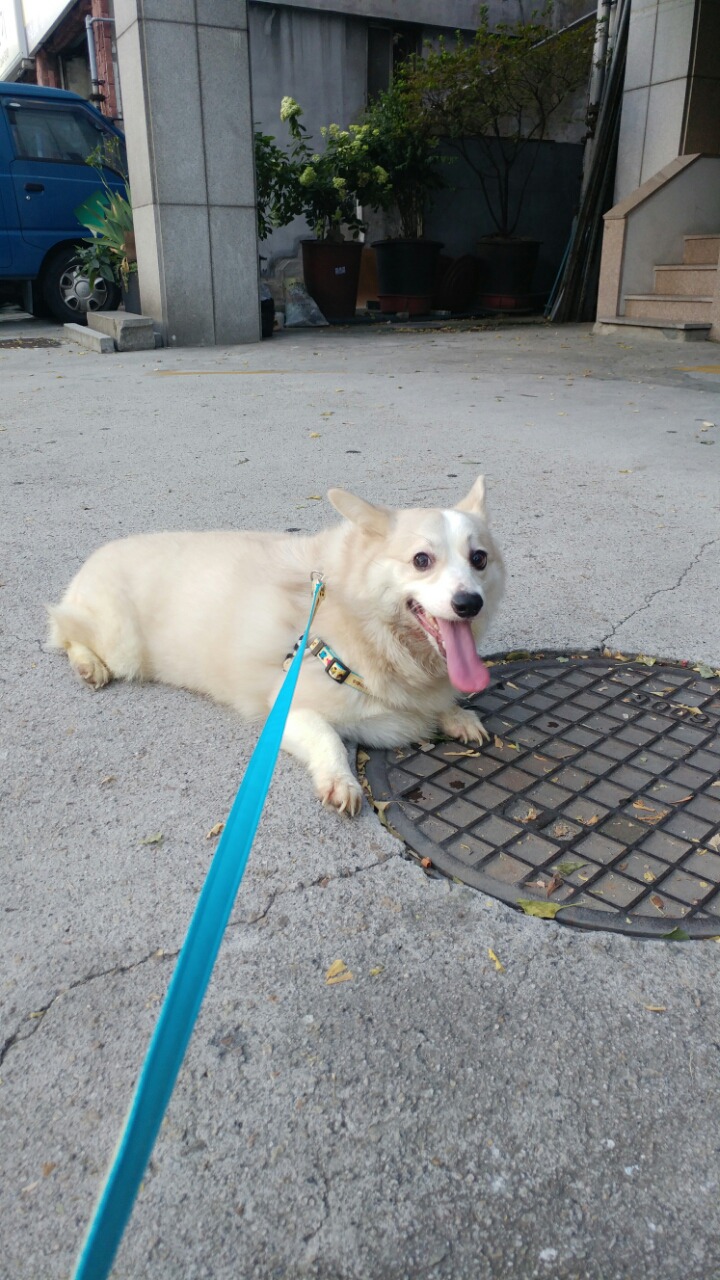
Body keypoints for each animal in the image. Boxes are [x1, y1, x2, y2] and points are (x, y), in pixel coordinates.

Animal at [48, 477, 504, 815]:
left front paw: (457, 715)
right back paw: (88, 665)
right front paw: (341, 781)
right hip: (120, 645)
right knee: (63, 626)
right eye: (421, 560)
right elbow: (329, 738)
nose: (469, 604)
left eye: (479, 559)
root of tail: (92, 558)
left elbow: (444, 704)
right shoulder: (288, 710)